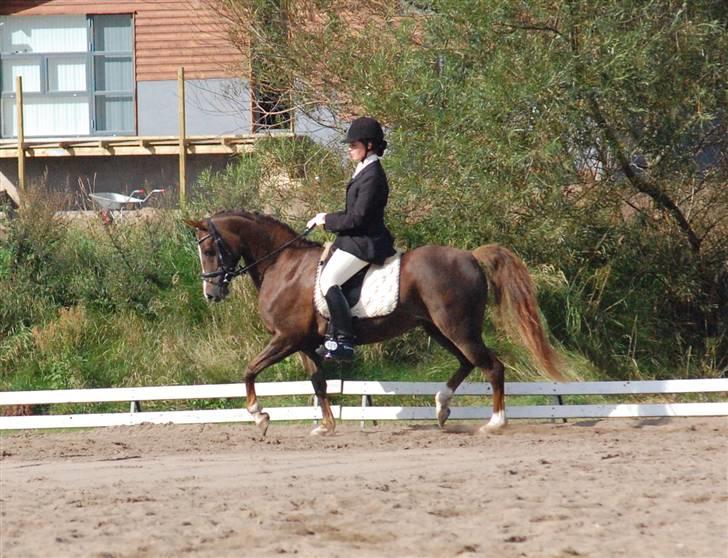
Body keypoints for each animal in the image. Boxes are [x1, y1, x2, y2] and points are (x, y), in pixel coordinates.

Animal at [183, 210, 564, 438]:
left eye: (210, 251)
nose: (211, 293)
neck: (283, 264)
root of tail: (470, 255)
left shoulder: (285, 338)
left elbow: (249, 370)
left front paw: (258, 415)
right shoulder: (302, 343)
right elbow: (319, 382)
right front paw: (326, 426)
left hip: (457, 328)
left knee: (492, 366)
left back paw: (495, 422)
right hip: (439, 329)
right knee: (468, 363)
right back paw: (441, 406)